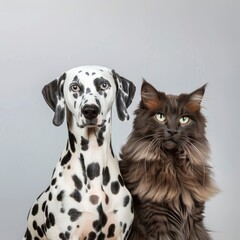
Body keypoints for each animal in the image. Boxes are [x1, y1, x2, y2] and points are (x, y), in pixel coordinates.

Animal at [120, 80, 218, 240]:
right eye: (160, 117)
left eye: (184, 119)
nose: (172, 131)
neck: (173, 167)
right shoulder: (159, 222)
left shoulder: (195, 221)